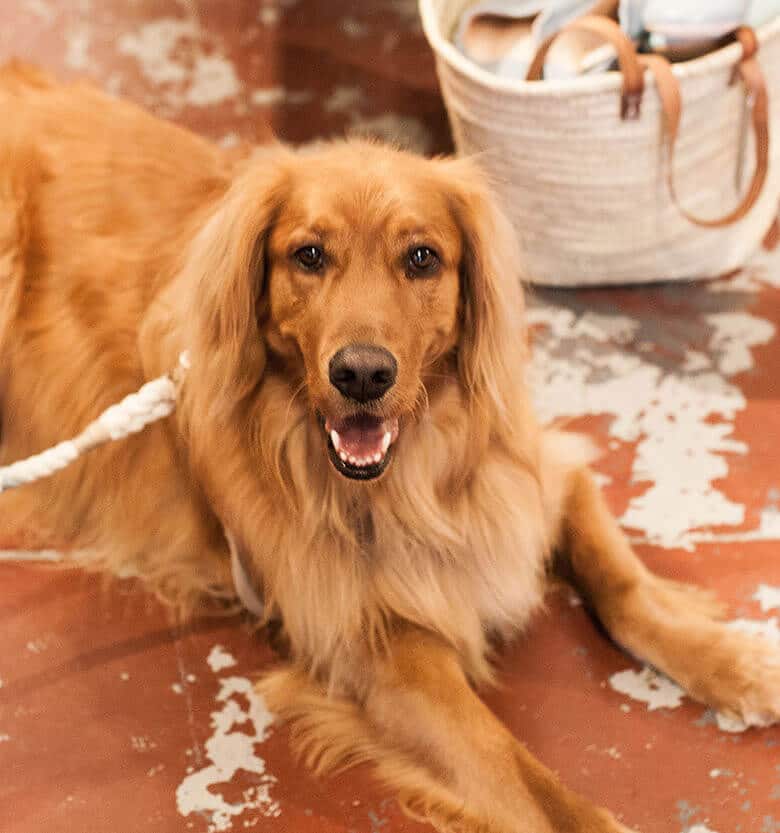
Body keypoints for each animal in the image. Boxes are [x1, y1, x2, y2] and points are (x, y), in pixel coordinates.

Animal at [1, 65, 780, 832]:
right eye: (309, 255)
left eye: (422, 257)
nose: (362, 374)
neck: (416, 475)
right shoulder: (377, 647)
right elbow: (528, 783)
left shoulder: (541, 476)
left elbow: (624, 586)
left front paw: (738, 663)